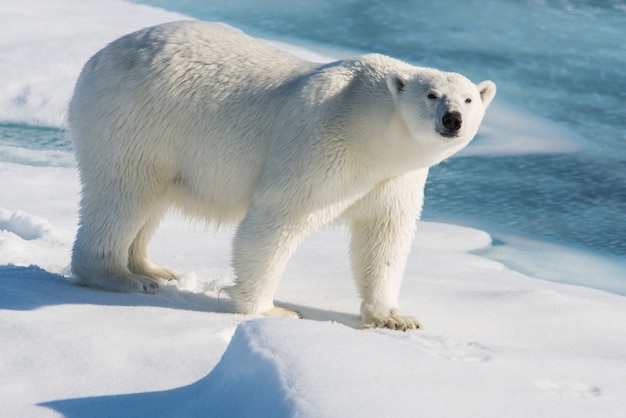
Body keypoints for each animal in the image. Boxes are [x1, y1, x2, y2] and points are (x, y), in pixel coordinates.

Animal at [69, 21, 492, 330]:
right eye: (431, 95)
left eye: (469, 98)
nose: (453, 119)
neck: (373, 131)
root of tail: (97, 59)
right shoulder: (322, 144)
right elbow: (277, 218)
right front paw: (272, 311)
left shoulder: (394, 179)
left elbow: (384, 236)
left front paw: (394, 317)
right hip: (136, 120)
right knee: (123, 192)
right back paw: (122, 277)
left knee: (152, 198)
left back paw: (151, 267)